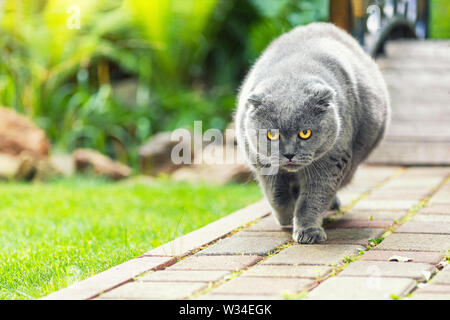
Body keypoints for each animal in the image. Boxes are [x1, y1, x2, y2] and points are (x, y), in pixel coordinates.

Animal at [236, 22, 390, 242]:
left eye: (305, 133)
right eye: (272, 134)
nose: (289, 154)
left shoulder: (332, 162)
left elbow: (312, 200)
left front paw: (308, 231)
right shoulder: (260, 162)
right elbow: (277, 196)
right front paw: (286, 218)